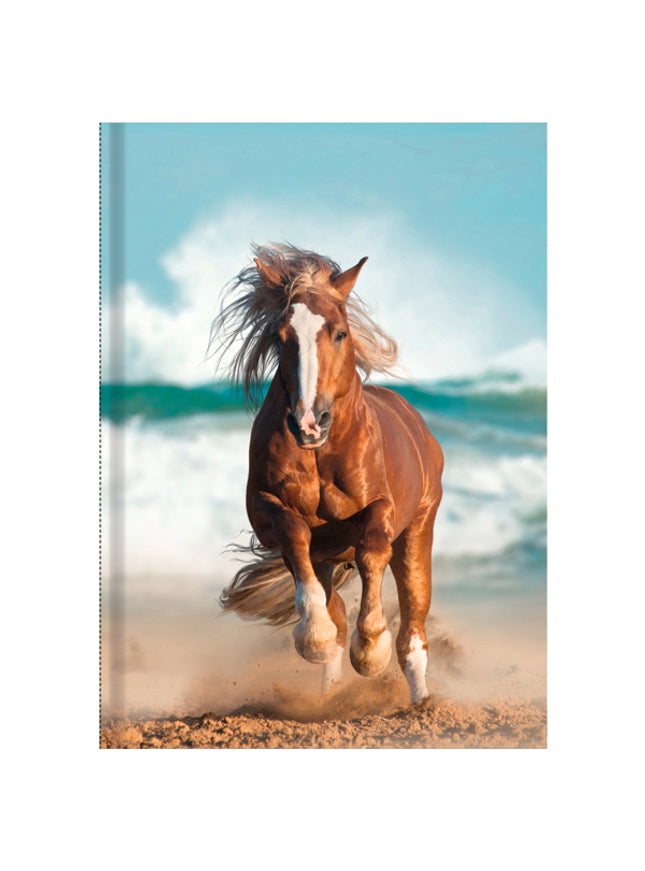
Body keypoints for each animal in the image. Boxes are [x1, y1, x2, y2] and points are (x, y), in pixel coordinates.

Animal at [211, 244, 443, 703]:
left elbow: (372, 548)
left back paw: (420, 700)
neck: (321, 454)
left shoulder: (382, 508)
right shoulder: (266, 511)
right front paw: (313, 637)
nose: (308, 423)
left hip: (418, 532)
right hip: (327, 558)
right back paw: (331, 691)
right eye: (280, 337)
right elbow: (294, 534)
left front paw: (370, 650)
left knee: (413, 624)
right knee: (333, 607)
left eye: (339, 333)